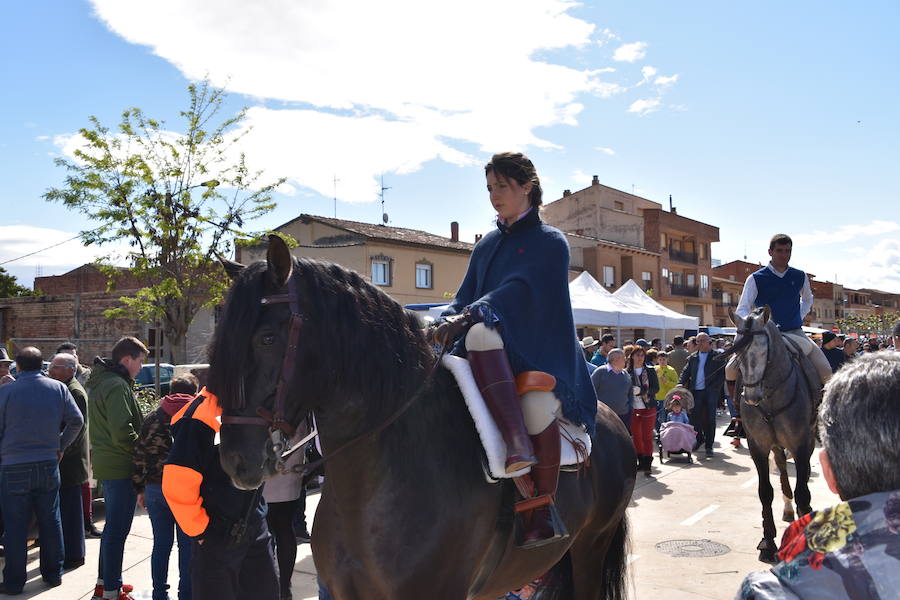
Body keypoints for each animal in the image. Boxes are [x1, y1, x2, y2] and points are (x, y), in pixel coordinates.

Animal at [732, 308, 824, 564]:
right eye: (737, 352)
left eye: (764, 351)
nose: (751, 396)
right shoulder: (759, 446)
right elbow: (765, 492)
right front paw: (768, 541)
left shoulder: (801, 442)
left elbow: (803, 491)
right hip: (776, 445)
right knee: (782, 468)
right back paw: (788, 508)